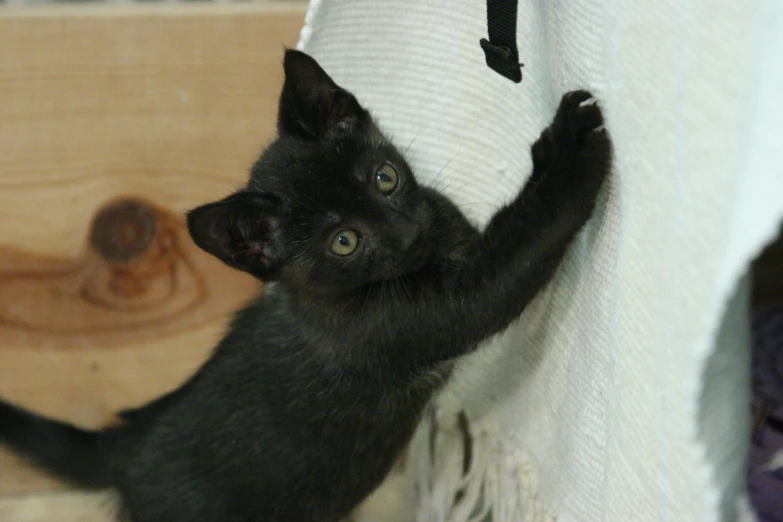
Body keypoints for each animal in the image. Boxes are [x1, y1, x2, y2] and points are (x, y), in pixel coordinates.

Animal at [0, 49, 612, 520]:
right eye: (343, 241)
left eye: (385, 177)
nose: (407, 230)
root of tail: (126, 445)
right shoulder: (417, 319)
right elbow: (521, 246)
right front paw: (575, 154)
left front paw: (550, 147)